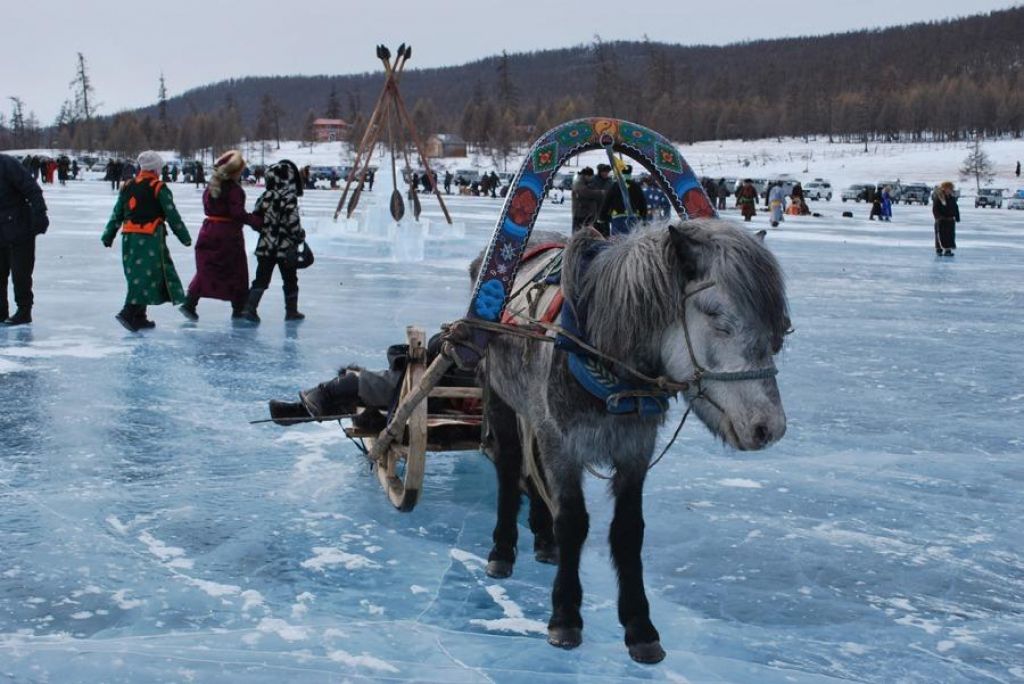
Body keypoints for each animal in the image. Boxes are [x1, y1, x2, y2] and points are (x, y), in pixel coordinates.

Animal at [473, 219, 790, 663]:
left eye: (778, 329)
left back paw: (543, 538)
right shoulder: (564, 445)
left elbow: (628, 531)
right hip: (499, 397)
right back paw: (502, 550)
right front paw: (565, 616)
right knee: (509, 466)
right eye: (717, 317)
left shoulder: (634, 451)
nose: (769, 427)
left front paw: (640, 627)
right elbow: (573, 522)